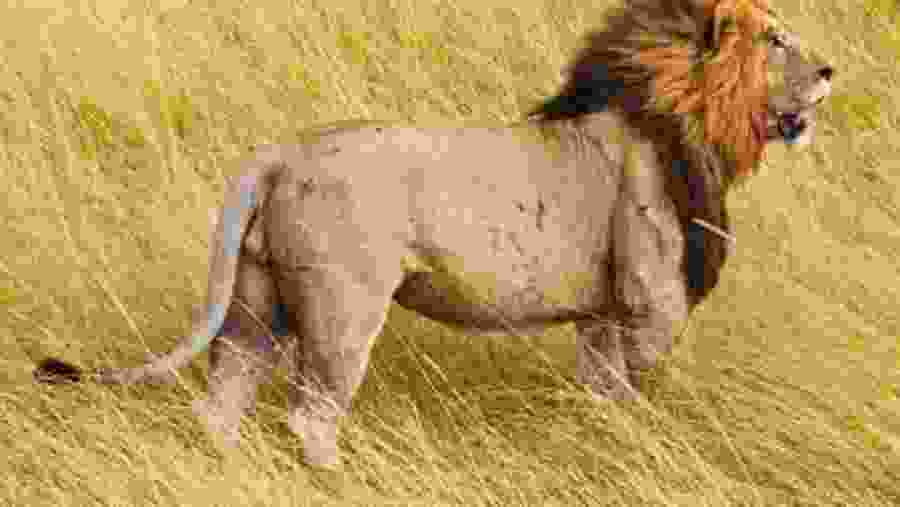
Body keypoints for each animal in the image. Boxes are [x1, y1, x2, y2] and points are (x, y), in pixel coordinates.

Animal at [35, 0, 834, 467]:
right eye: (774, 38)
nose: (830, 70)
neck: (686, 119)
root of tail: (283, 153)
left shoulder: (602, 316)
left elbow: (598, 393)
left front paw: (596, 443)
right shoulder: (649, 306)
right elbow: (632, 393)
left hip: (256, 302)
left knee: (220, 402)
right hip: (343, 309)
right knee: (310, 416)